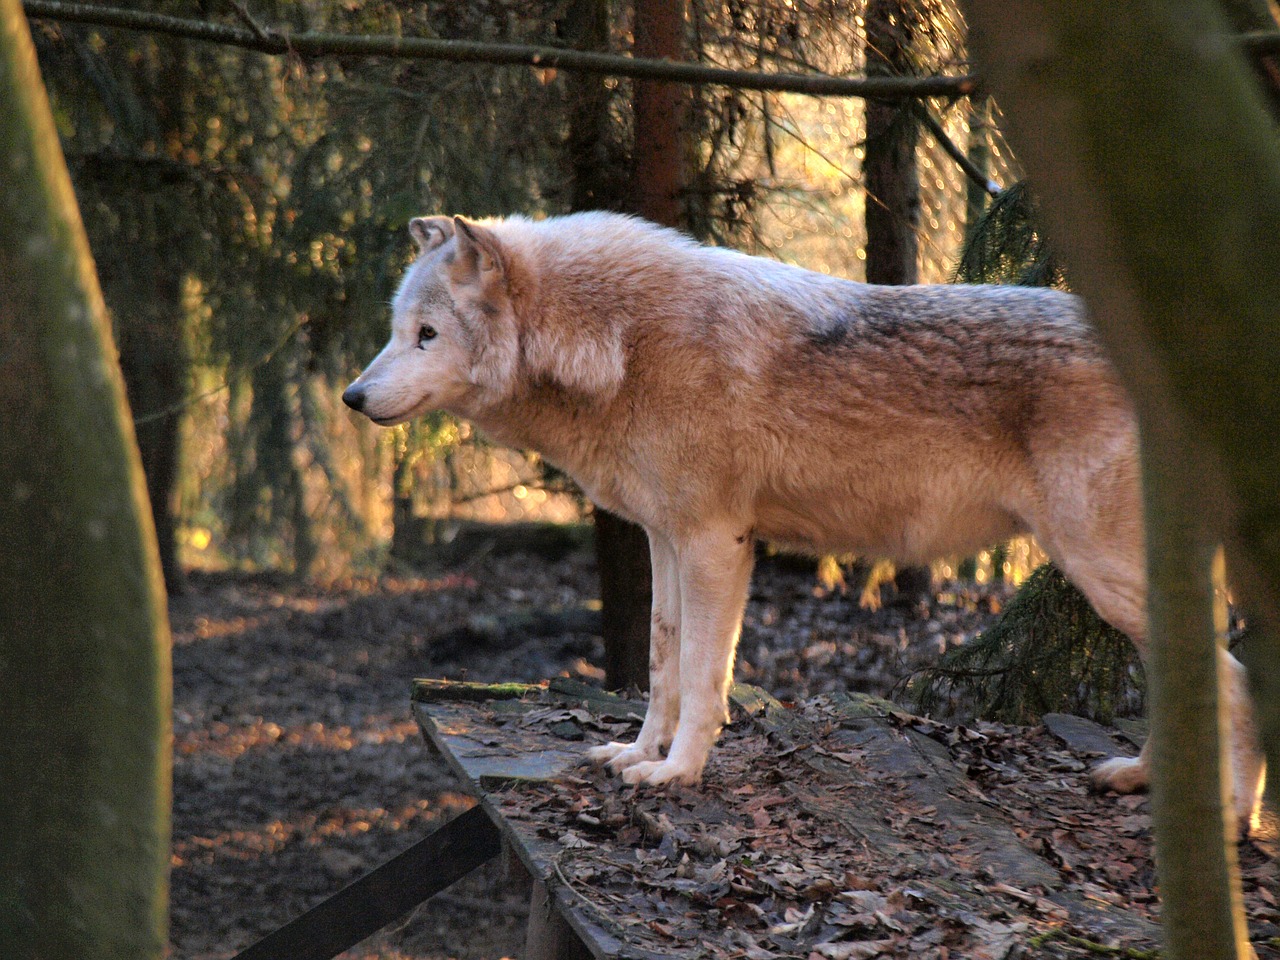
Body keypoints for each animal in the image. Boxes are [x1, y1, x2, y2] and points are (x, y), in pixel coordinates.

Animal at [340, 209, 1259, 819]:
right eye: (394, 329)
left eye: (427, 335)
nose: (351, 397)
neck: (620, 342)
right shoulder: (665, 541)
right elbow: (663, 663)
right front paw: (637, 753)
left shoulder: (716, 543)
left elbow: (704, 678)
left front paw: (677, 775)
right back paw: (1144, 781)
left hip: (1102, 571)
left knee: (1234, 680)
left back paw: (1235, 817)